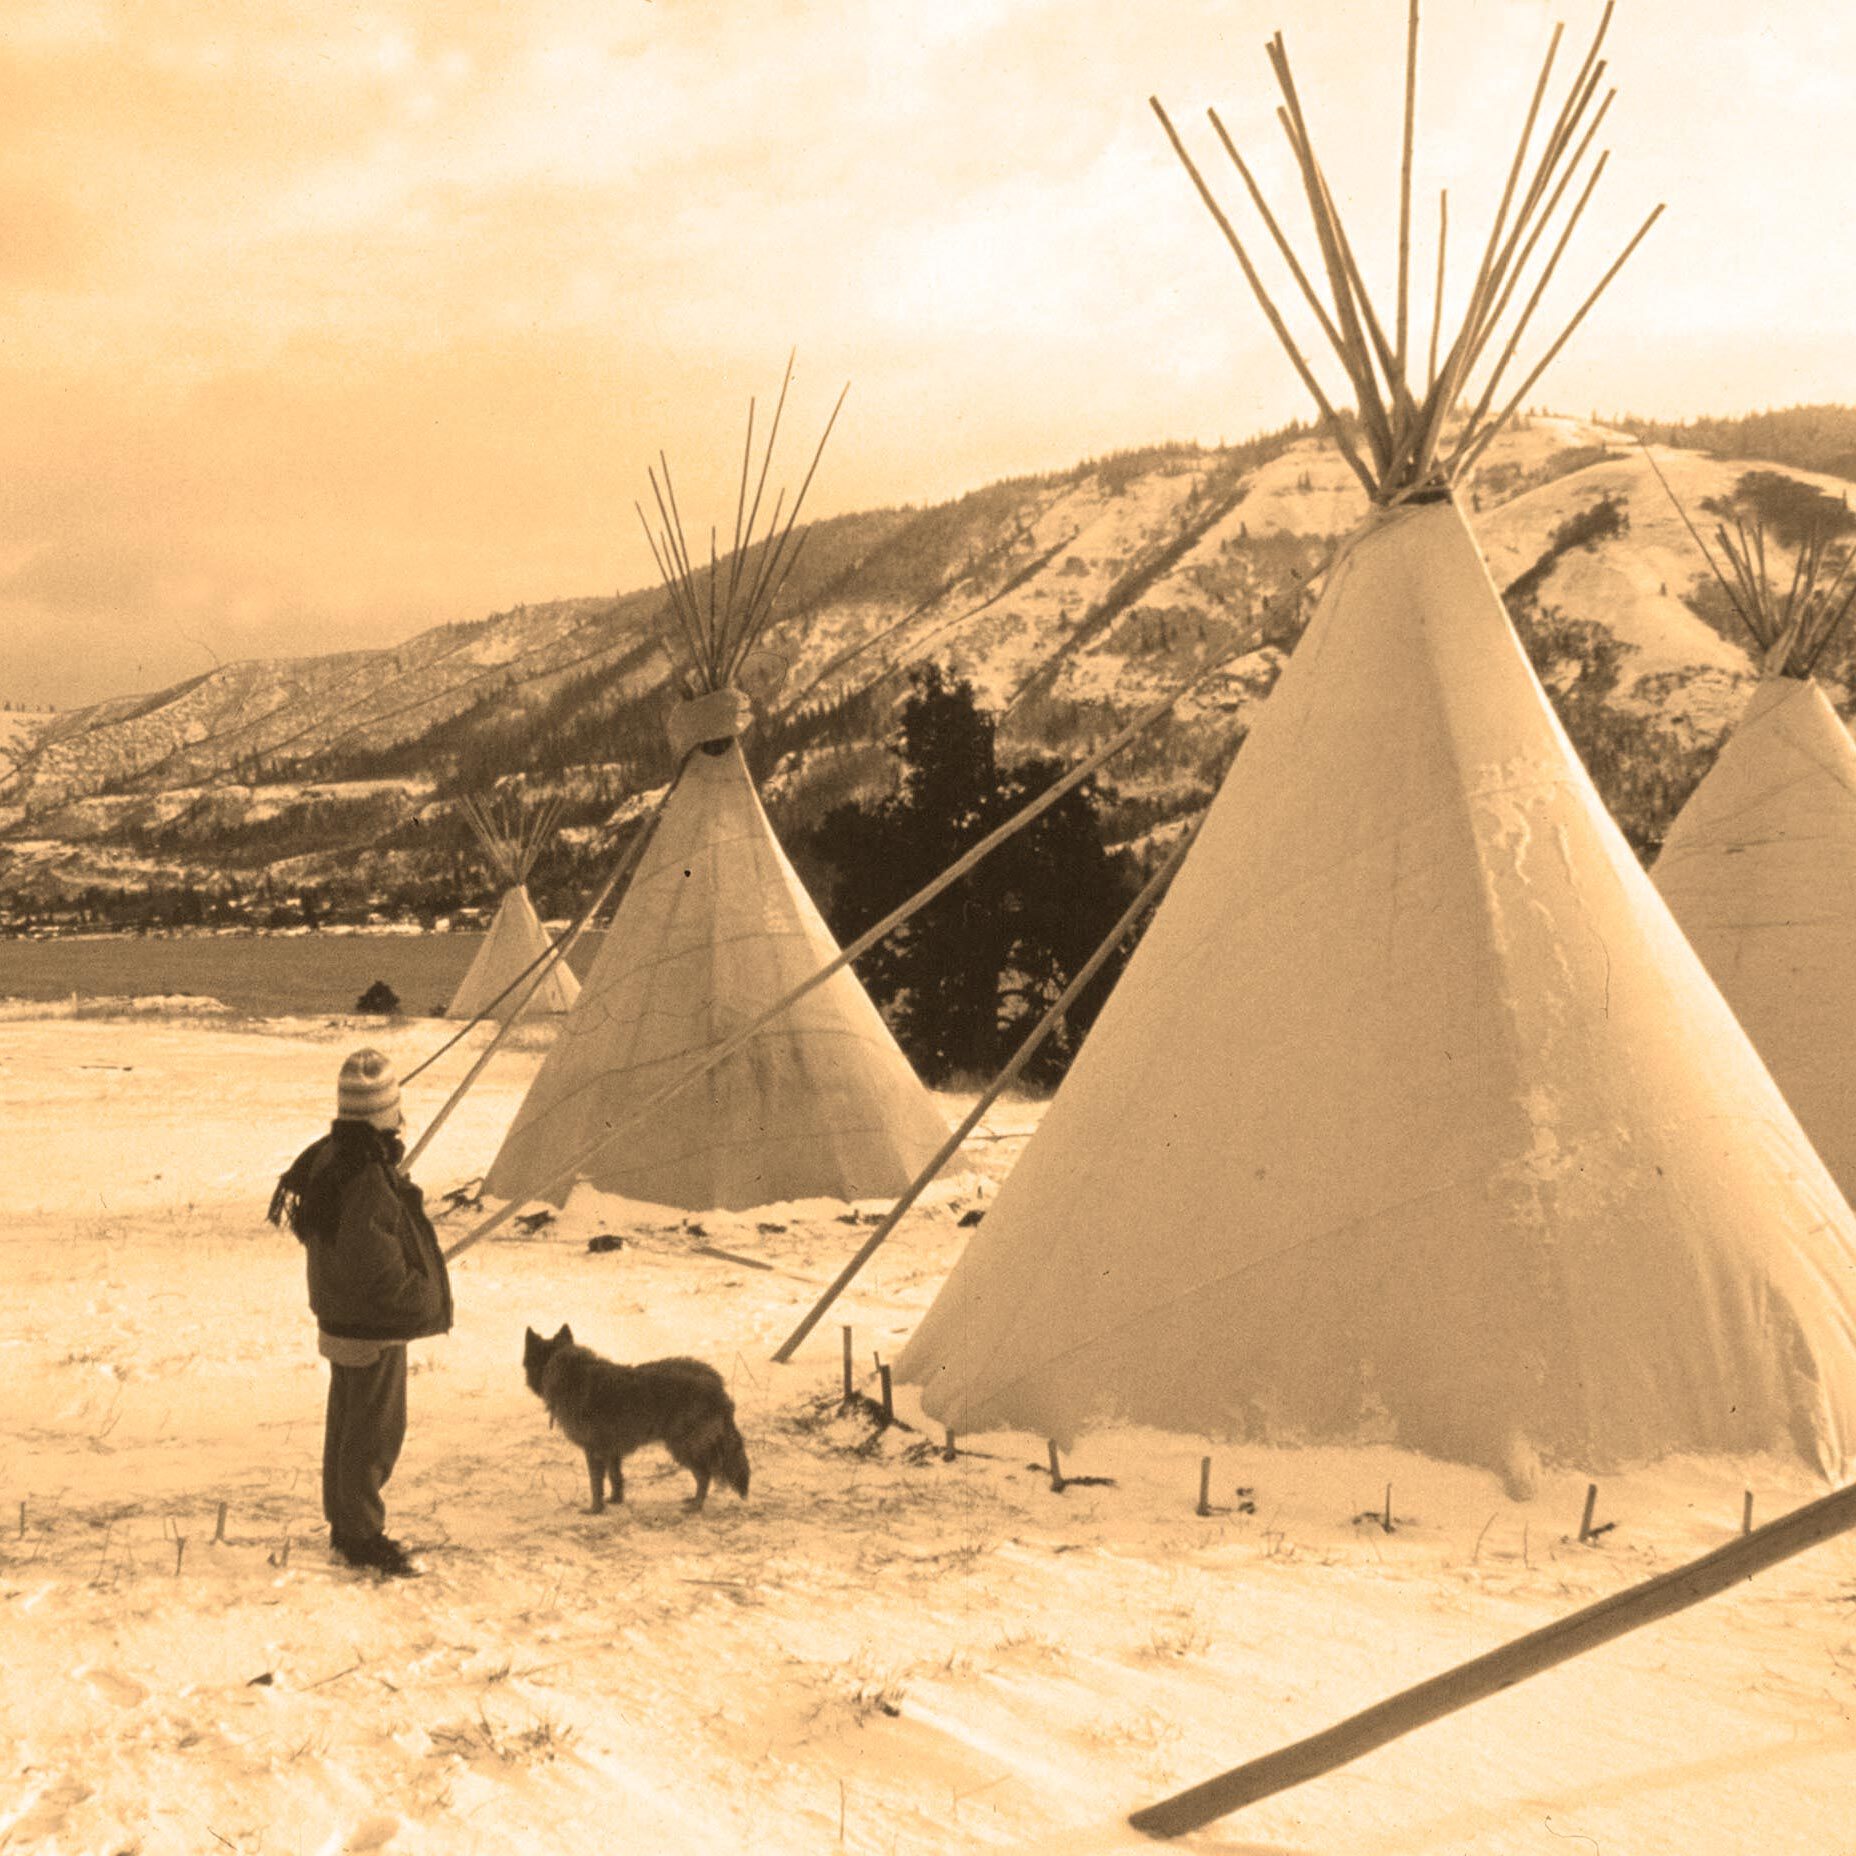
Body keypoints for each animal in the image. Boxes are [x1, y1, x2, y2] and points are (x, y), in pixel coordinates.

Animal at [519, 1314, 749, 1514]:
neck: (567, 1372)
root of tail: (715, 1382)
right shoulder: (611, 1452)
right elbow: (615, 1477)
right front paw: (615, 1500)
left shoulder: (593, 1451)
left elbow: (596, 1484)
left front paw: (595, 1509)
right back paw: (694, 1500)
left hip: (682, 1446)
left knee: (704, 1474)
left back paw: (696, 1505)